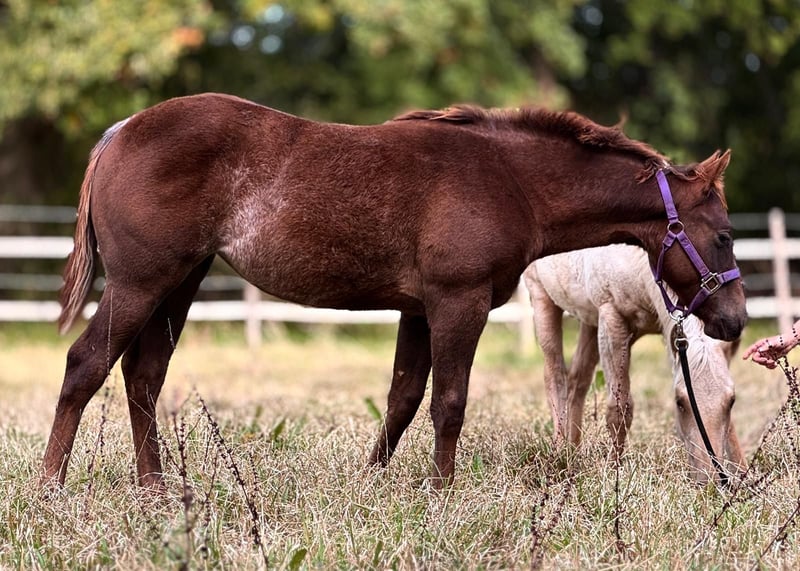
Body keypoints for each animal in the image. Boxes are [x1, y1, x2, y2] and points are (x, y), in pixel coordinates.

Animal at [524, 245, 746, 483]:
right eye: (679, 402)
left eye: (732, 401)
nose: (709, 480)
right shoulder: (612, 318)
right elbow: (620, 408)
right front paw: (614, 473)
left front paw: (743, 474)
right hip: (541, 298)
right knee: (556, 377)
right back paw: (559, 455)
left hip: (589, 320)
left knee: (578, 380)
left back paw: (572, 452)